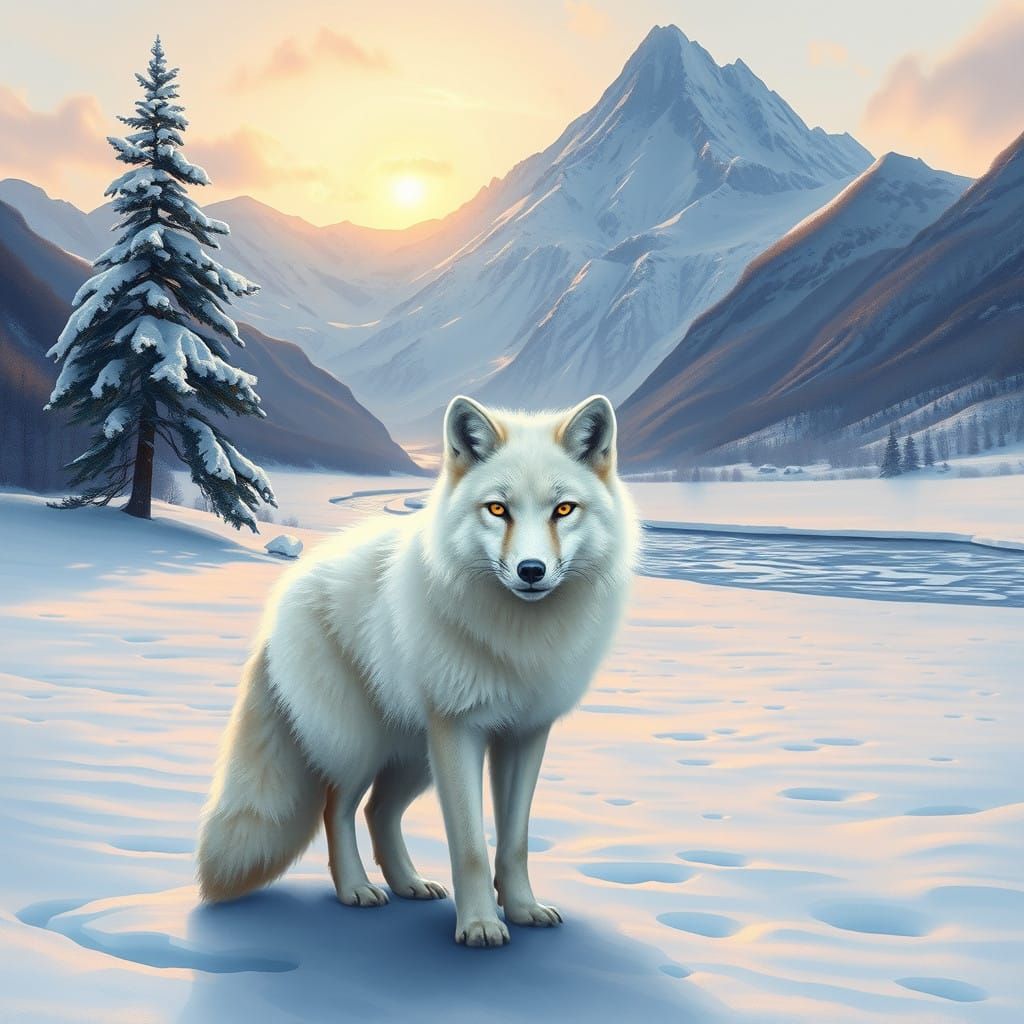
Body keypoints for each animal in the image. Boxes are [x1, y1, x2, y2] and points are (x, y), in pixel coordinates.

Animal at [195, 394, 638, 947]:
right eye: (498, 509)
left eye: (563, 510)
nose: (531, 571)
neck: (518, 641)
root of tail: (284, 596)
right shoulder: (459, 730)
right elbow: (469, 846)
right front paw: (480, 925)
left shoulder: (525, 735)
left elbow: (514, 841)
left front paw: (521, 909)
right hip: (362, 745)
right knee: (337, 808)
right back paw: (356, 889)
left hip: (412, 756)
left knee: (377, 811)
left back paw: (408, 883)